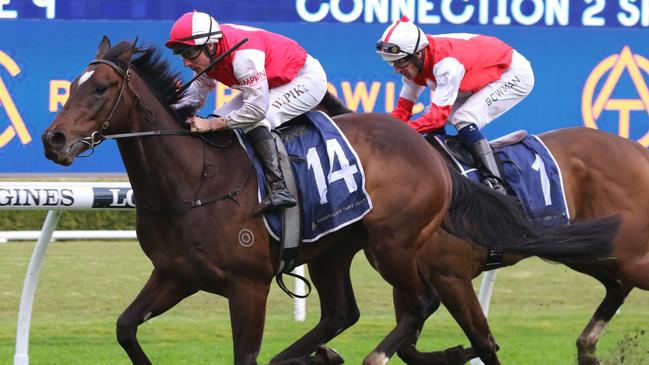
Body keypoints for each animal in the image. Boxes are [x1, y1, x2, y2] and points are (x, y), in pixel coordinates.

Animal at [40, 37, 616, 364]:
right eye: (71, 84)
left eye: (99, 89)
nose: (53, 139)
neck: (195, 182)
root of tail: (428, 153)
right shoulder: (175, 275)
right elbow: (126, 329)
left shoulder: (246, 287)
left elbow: (244, 355)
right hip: (336, 249)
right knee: (342, 313)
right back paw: (325, 354)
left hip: (393, 244)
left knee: (419, 305)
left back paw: (380, 355)